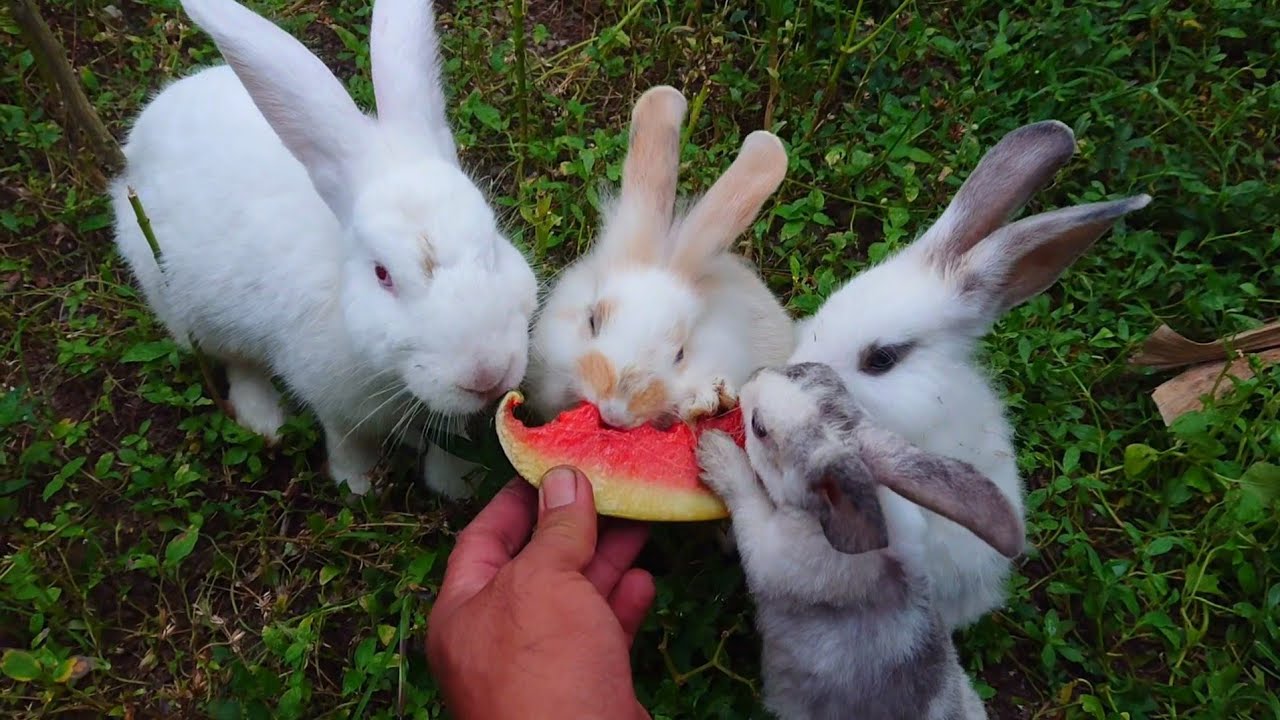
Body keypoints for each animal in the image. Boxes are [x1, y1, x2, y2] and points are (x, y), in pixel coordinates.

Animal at [108, 0, 537, 497]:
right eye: (382, 274)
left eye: (492, 245)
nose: (486, 374)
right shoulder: (332, 399)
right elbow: (347, 441)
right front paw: (358, 485)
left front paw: (457, 485)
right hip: (187, 308)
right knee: (237, 362)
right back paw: (264, 420)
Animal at [697, 361, 1025, 720]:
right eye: (801, 369)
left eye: (759, 427)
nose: (754, 375)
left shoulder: (771, 552)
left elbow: (747, 498)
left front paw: (716, 452)